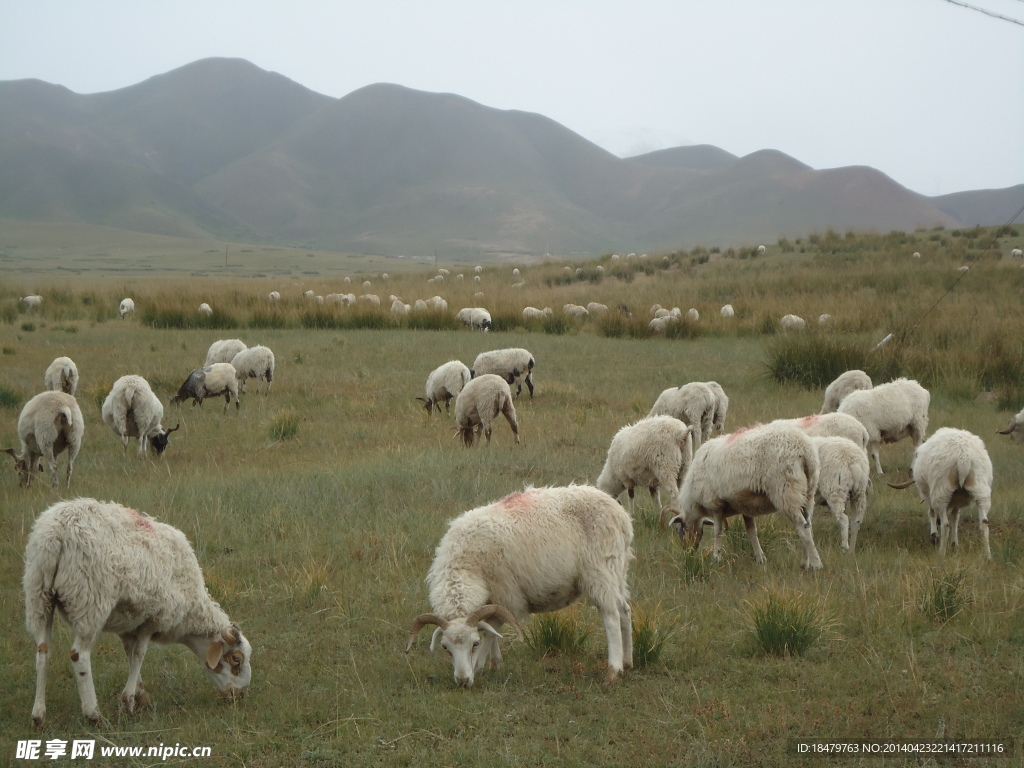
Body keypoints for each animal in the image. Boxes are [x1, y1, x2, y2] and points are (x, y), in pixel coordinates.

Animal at [24, 499, 252, 729]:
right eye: (236, 660)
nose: (239, 695)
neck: (191, 609)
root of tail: (57, 532)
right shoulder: (153, 619)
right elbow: (139, 654)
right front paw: (129, 702)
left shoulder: (128, 624)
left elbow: (130, 653)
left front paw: (140, 695)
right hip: (90, 599)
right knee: (79, 655)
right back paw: (94, 714)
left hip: (38, 595)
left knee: (43, 652)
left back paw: (38, 715)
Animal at [405, 483, 630, 688]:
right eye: (445, 647)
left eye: (474, 643)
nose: (462, 681)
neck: (465, 565)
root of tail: (620, 514)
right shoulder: (493, 598)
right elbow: (490, 628)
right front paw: (496, 663)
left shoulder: (506, 594)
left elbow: (490, 631)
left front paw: (479, 666)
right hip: (617, 569)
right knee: (624, 610)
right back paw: (628, 662)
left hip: (600, 570)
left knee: (611, 617)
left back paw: (613, 671)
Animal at [663, 421, 823, 573]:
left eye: (680, 529)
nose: (688, 552)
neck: (694, 503)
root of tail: (804, 449)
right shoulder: (745, 506)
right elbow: (751, 531)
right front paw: (760, 558)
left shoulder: (715, 504)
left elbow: (717, 532)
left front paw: (716, 558)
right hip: (808, 492)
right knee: (808, 525)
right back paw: (805, 562)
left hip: (786, 490)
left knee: (803, 528)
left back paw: (816, 565)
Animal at [888, 428, 991, 561]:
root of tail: (963, 458)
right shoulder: (957, 500)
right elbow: (955, 517)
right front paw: (954, 544)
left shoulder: (930, 495)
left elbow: (932, 513)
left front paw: (934, 536)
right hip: (981, 490)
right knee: (984, 523)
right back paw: (988, 555)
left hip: (941, 491)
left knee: (945, 525)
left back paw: (941, 554)